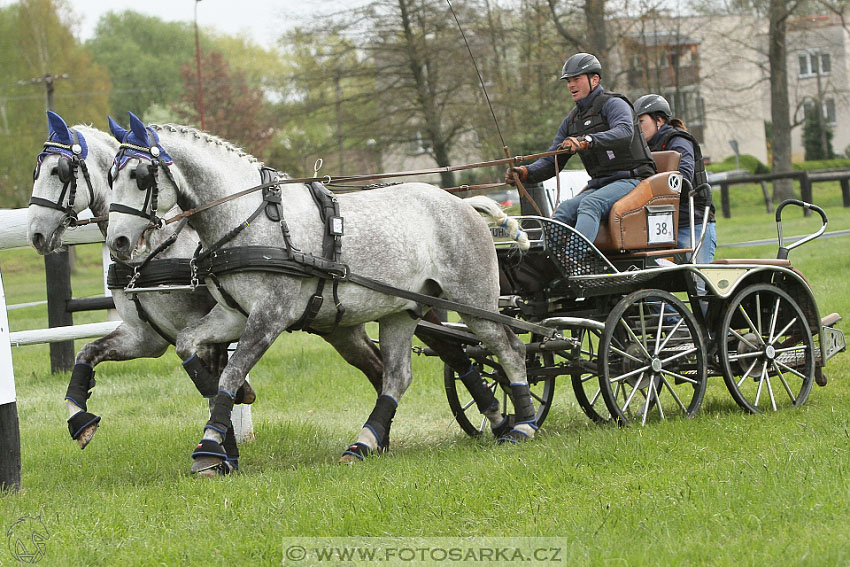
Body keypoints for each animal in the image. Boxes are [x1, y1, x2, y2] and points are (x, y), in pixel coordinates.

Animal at [104, 114, 536, 474]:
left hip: (472, 303)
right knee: (397, 376)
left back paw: (523, 425)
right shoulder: (233, 315)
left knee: (510, 349)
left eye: (140, 175)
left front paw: (209, 449)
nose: (118, 242)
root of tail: (463, 204)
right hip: (402, 311)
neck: (249, 217)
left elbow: (232, 371)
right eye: (111, 177)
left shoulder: (270, 316)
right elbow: (187, 345)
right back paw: (364, 444)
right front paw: (220, 428)